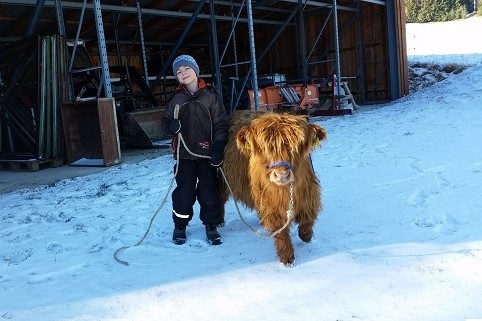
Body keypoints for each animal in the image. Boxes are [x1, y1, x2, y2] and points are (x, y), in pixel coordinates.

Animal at [219, 110, 328, 264]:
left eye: (297, 147)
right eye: (264, 149)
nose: (281, 175)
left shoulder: (309, 192)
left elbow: (307, 219)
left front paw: (307, 236)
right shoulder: (271, 205)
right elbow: (280, 231)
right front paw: (287, 257)